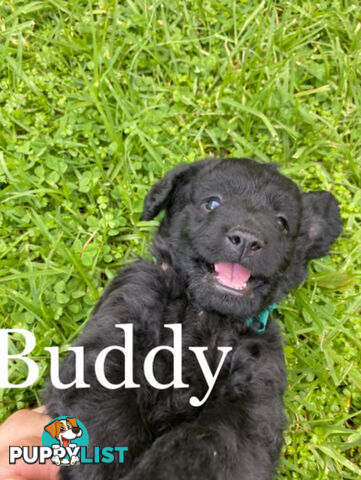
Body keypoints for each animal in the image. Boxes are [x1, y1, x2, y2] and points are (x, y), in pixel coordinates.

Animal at [45, 158, 340, 480]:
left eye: (281, 223)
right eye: (212, 203)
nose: (247, 239)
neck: (205, 315)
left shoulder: (253, 393)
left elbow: (204, 444)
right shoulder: (118, 327)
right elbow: (107, 418)